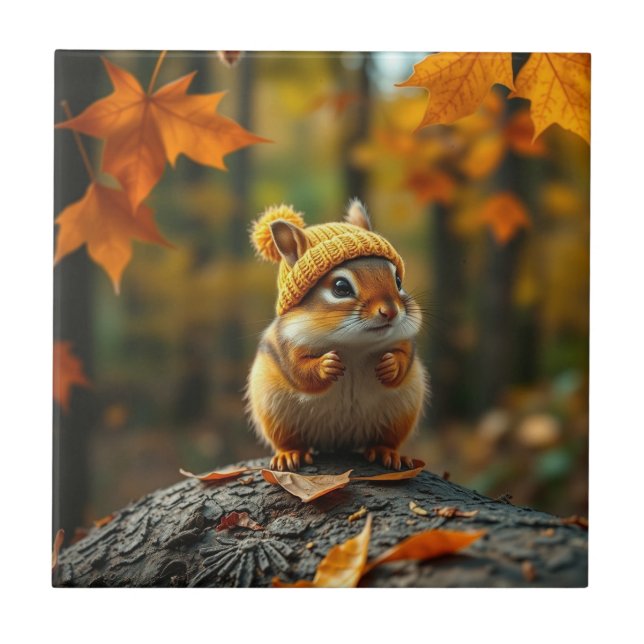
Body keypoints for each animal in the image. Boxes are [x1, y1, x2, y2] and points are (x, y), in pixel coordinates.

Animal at [246, 199, 428, 471]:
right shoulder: (283, 345)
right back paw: (290, 454)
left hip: (400, 413)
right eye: (341, 288)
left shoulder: (404, 339)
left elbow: (404, 356)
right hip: (275, 412)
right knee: (289, 440)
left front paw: (390, 365)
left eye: (397, 280)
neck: (353, 347)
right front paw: (326, 366)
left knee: (385, 440)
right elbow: (300, 373)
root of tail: (338, 441)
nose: (390, 311)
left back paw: (385, 452)